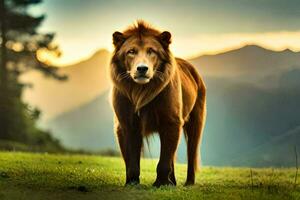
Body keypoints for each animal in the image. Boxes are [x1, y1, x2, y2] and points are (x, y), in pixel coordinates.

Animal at [110, 21, 206, 187]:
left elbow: (164, 160)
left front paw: (161, 183)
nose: (142, 68)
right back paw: (173, 182)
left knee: (191, 154)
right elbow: (131, 160)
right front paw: (132, 182)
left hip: (196, 121)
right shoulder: (126, 124)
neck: (141, 90)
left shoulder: (171, 121)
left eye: (151, 51)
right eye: (131, 51)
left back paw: (188, 183)